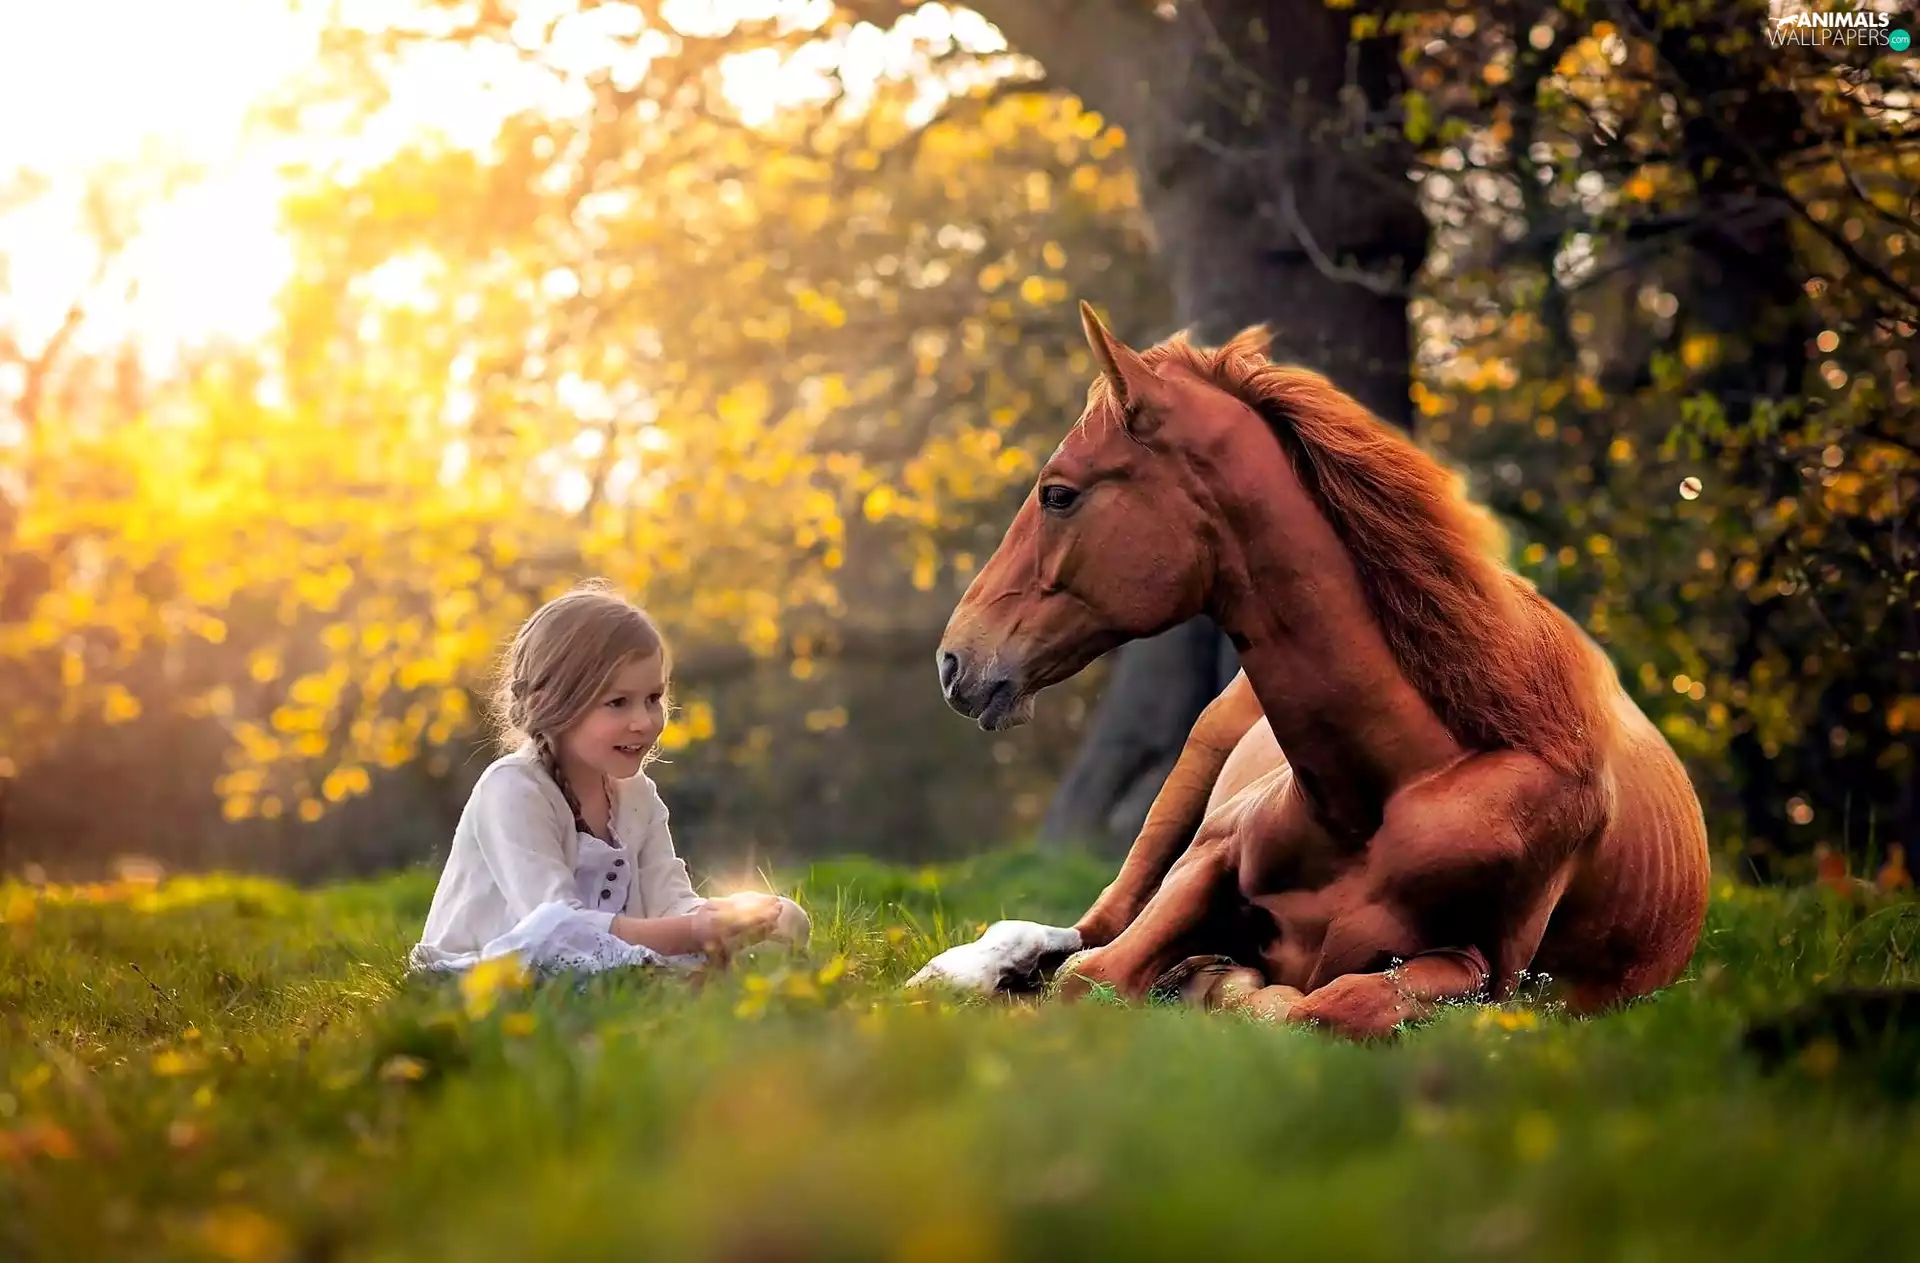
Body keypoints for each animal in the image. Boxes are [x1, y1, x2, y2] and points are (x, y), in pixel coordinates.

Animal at [907, 302, 1711, 1040]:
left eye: (1059, 494)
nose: (954, 659)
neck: (1393, 786)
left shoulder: (1483, 971)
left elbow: (1327, 1005)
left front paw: (1221, 986)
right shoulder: (1206, 861)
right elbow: (1090, 974)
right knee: (1080, 928)